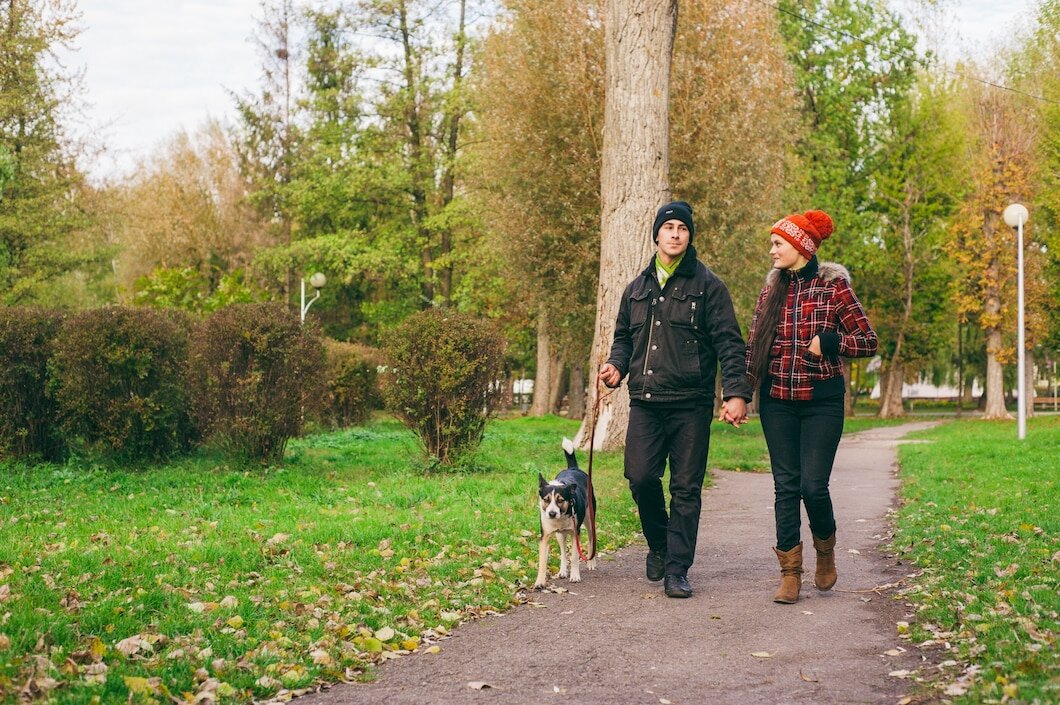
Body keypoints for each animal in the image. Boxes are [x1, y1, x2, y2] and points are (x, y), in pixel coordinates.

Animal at [530, 434, 597, 589]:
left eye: (560, 500)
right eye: (546, 499)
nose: (552, 514)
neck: (561, 517)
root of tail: (573, 468)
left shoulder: (575, 533)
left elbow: (575, 556)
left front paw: (575, 576)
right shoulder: (545, 536)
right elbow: (543, 561)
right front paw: (539, 581)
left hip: (589, 520)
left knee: (591, 540)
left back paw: (591, 562)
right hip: (560, 535)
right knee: (562, 551)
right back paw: (562, 571)